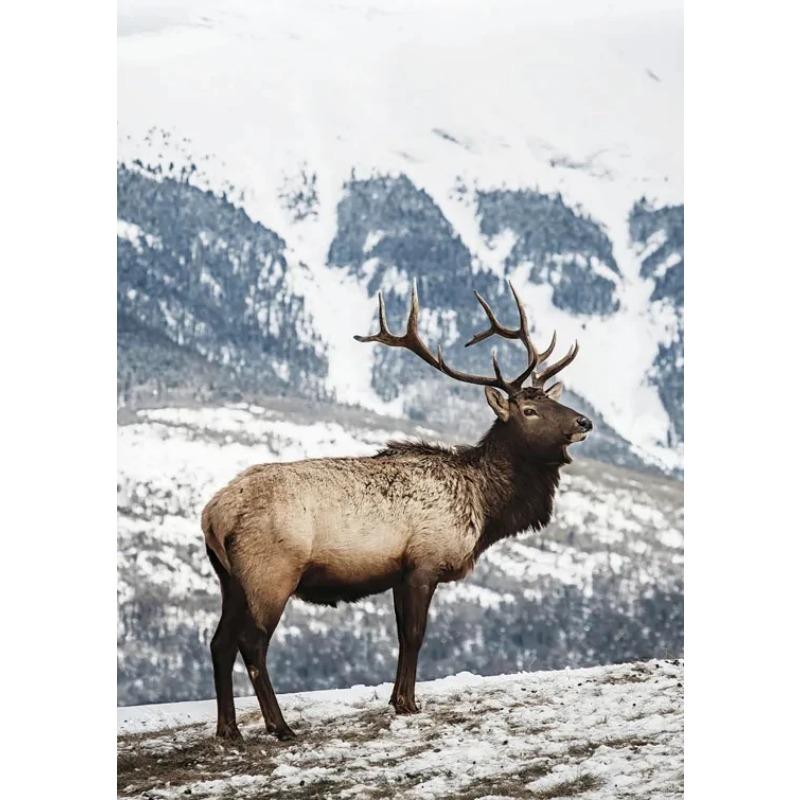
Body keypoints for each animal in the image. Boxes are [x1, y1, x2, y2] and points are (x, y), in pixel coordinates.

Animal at [201, 281, 592, 741]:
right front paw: (408, 702)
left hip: (230, 579)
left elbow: (402, 636)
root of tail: (213, 515)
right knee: (252, 644)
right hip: (271, 572)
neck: (484, 507)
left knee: (219, 642)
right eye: (529, 411)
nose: (584, 422)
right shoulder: (424, 562)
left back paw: (229, 729)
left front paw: (395, 699)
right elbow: (416, 635)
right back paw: (280, 726)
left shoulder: (397, 573)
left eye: (551, 400)